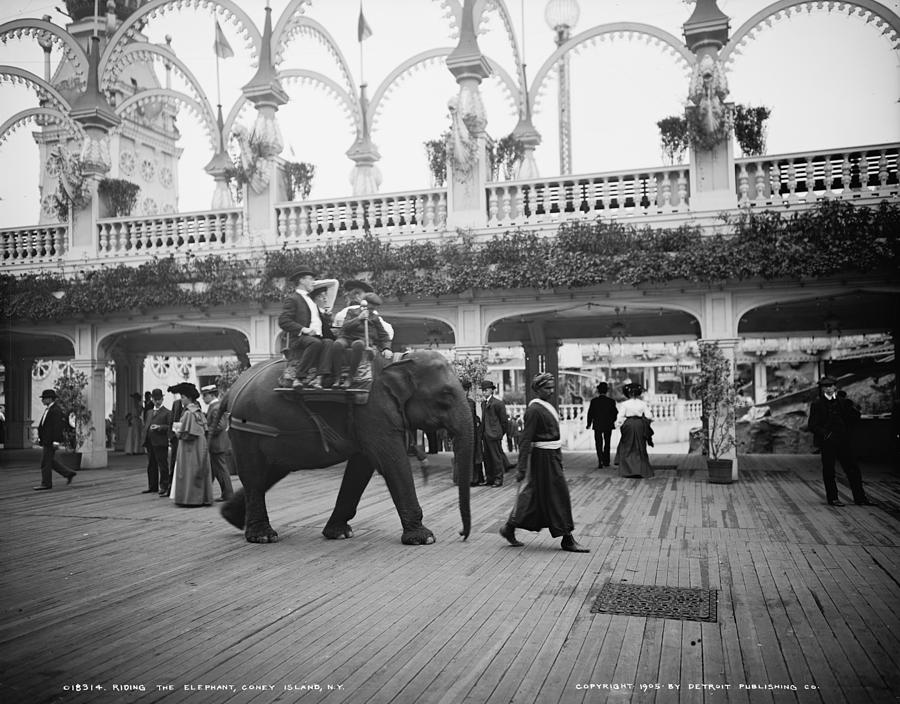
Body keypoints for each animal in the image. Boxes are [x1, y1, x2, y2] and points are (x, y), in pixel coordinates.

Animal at [219, 350, 474, 544]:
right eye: (445, 394)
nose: (461, 533)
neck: (398, 361)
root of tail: (230, 391)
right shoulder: (373, 411)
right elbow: (391, 461)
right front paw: (425, 539)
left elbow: (361, 467)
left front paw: (339, 534)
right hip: (246, 430)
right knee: (253, 473)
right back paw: (263, 537)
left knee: (271, 470)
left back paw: (231, 518)